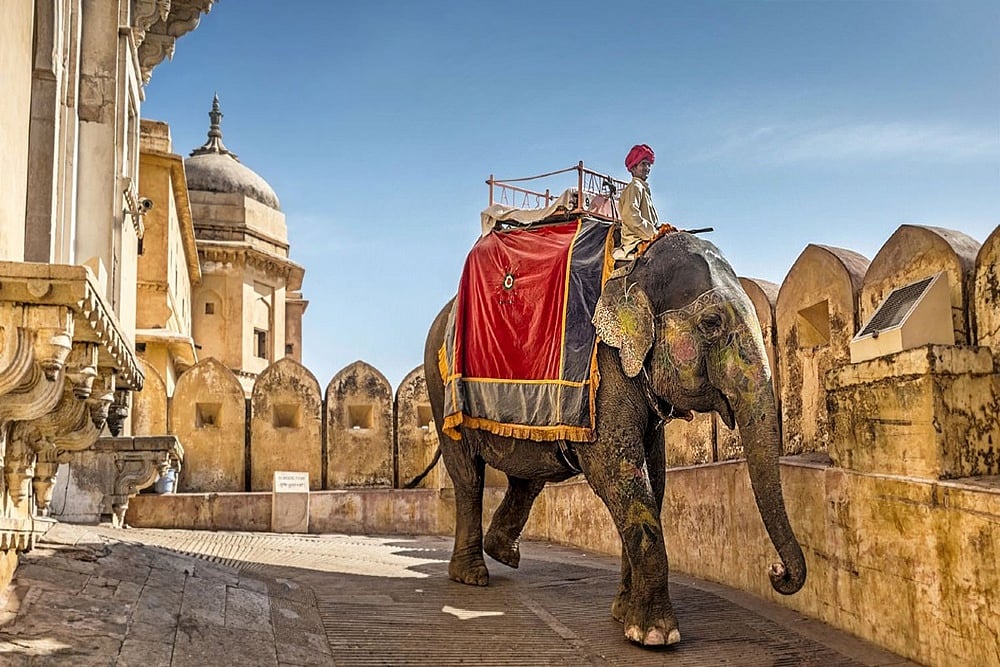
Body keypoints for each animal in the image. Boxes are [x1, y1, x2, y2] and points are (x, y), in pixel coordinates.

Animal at [423, 230, 806, 647]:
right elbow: (619, 473)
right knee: (469, 477)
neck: (636, 266)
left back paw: (504, 554)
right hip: (441, 388)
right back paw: (472, 575)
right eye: (711, 322)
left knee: (528, 477)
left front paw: (624, 614)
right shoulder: (605, 370)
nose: (776, 572)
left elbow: (654, 479)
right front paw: (655, 635)